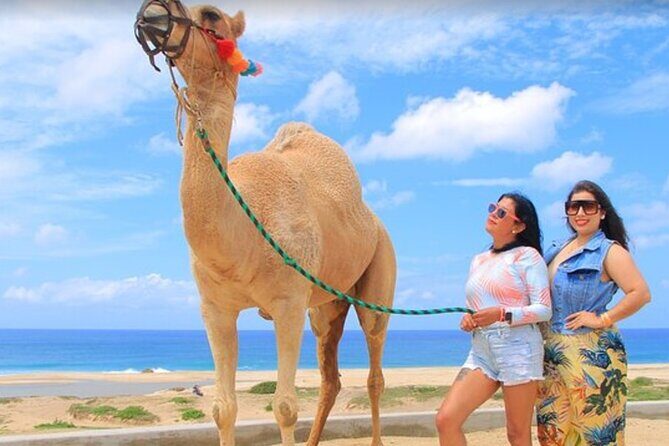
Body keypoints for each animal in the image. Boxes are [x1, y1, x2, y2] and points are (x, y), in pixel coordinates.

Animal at [135, 2, 396, 445]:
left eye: (212, 16)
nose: (152, 13)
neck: (244, 236)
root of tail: (375, 222)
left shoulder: (288, 302)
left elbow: (285, 407)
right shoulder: (215, 308)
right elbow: (223, 408)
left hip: (378, 274)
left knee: (375, 369)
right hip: (325, 305)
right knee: (330, 377)